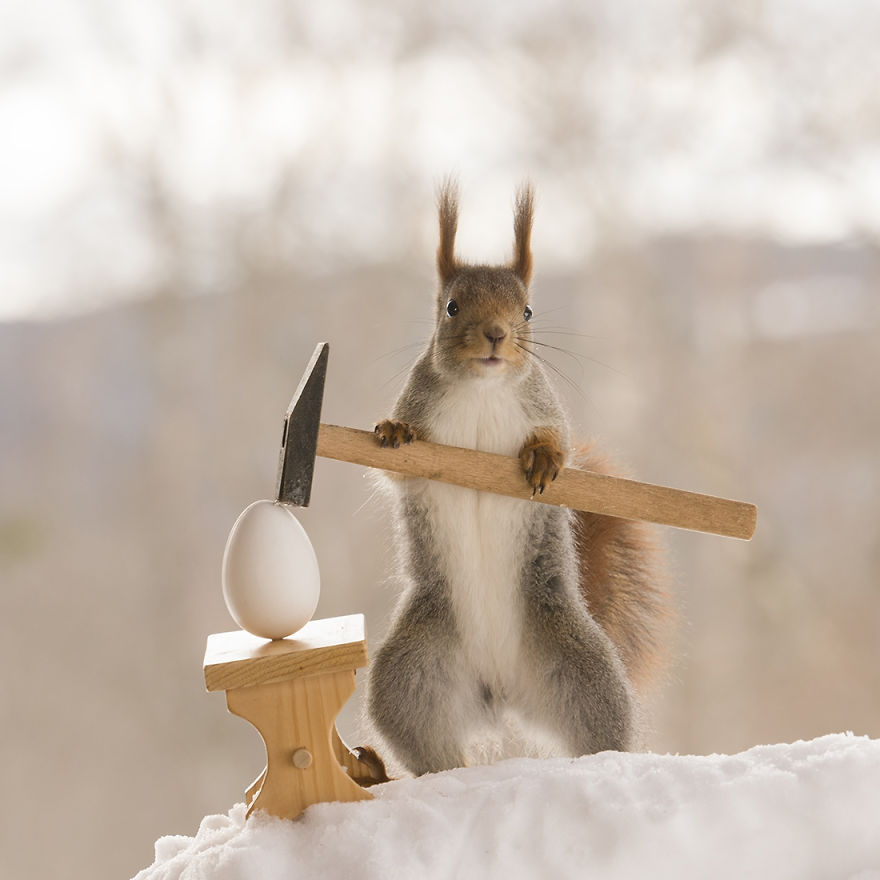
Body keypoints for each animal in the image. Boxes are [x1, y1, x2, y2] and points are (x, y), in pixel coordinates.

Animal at [366, 180, 671, 776]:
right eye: (451, 307)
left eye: (527, 309)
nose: (496, 334)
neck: (483, 389)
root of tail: (499, 692)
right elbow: (397, 472)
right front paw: (393, 431)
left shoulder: (544, 405)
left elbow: (561, 444)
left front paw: (545, 457)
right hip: (411, 674)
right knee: (430, 746)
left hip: (582, 671)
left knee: (601, 728)